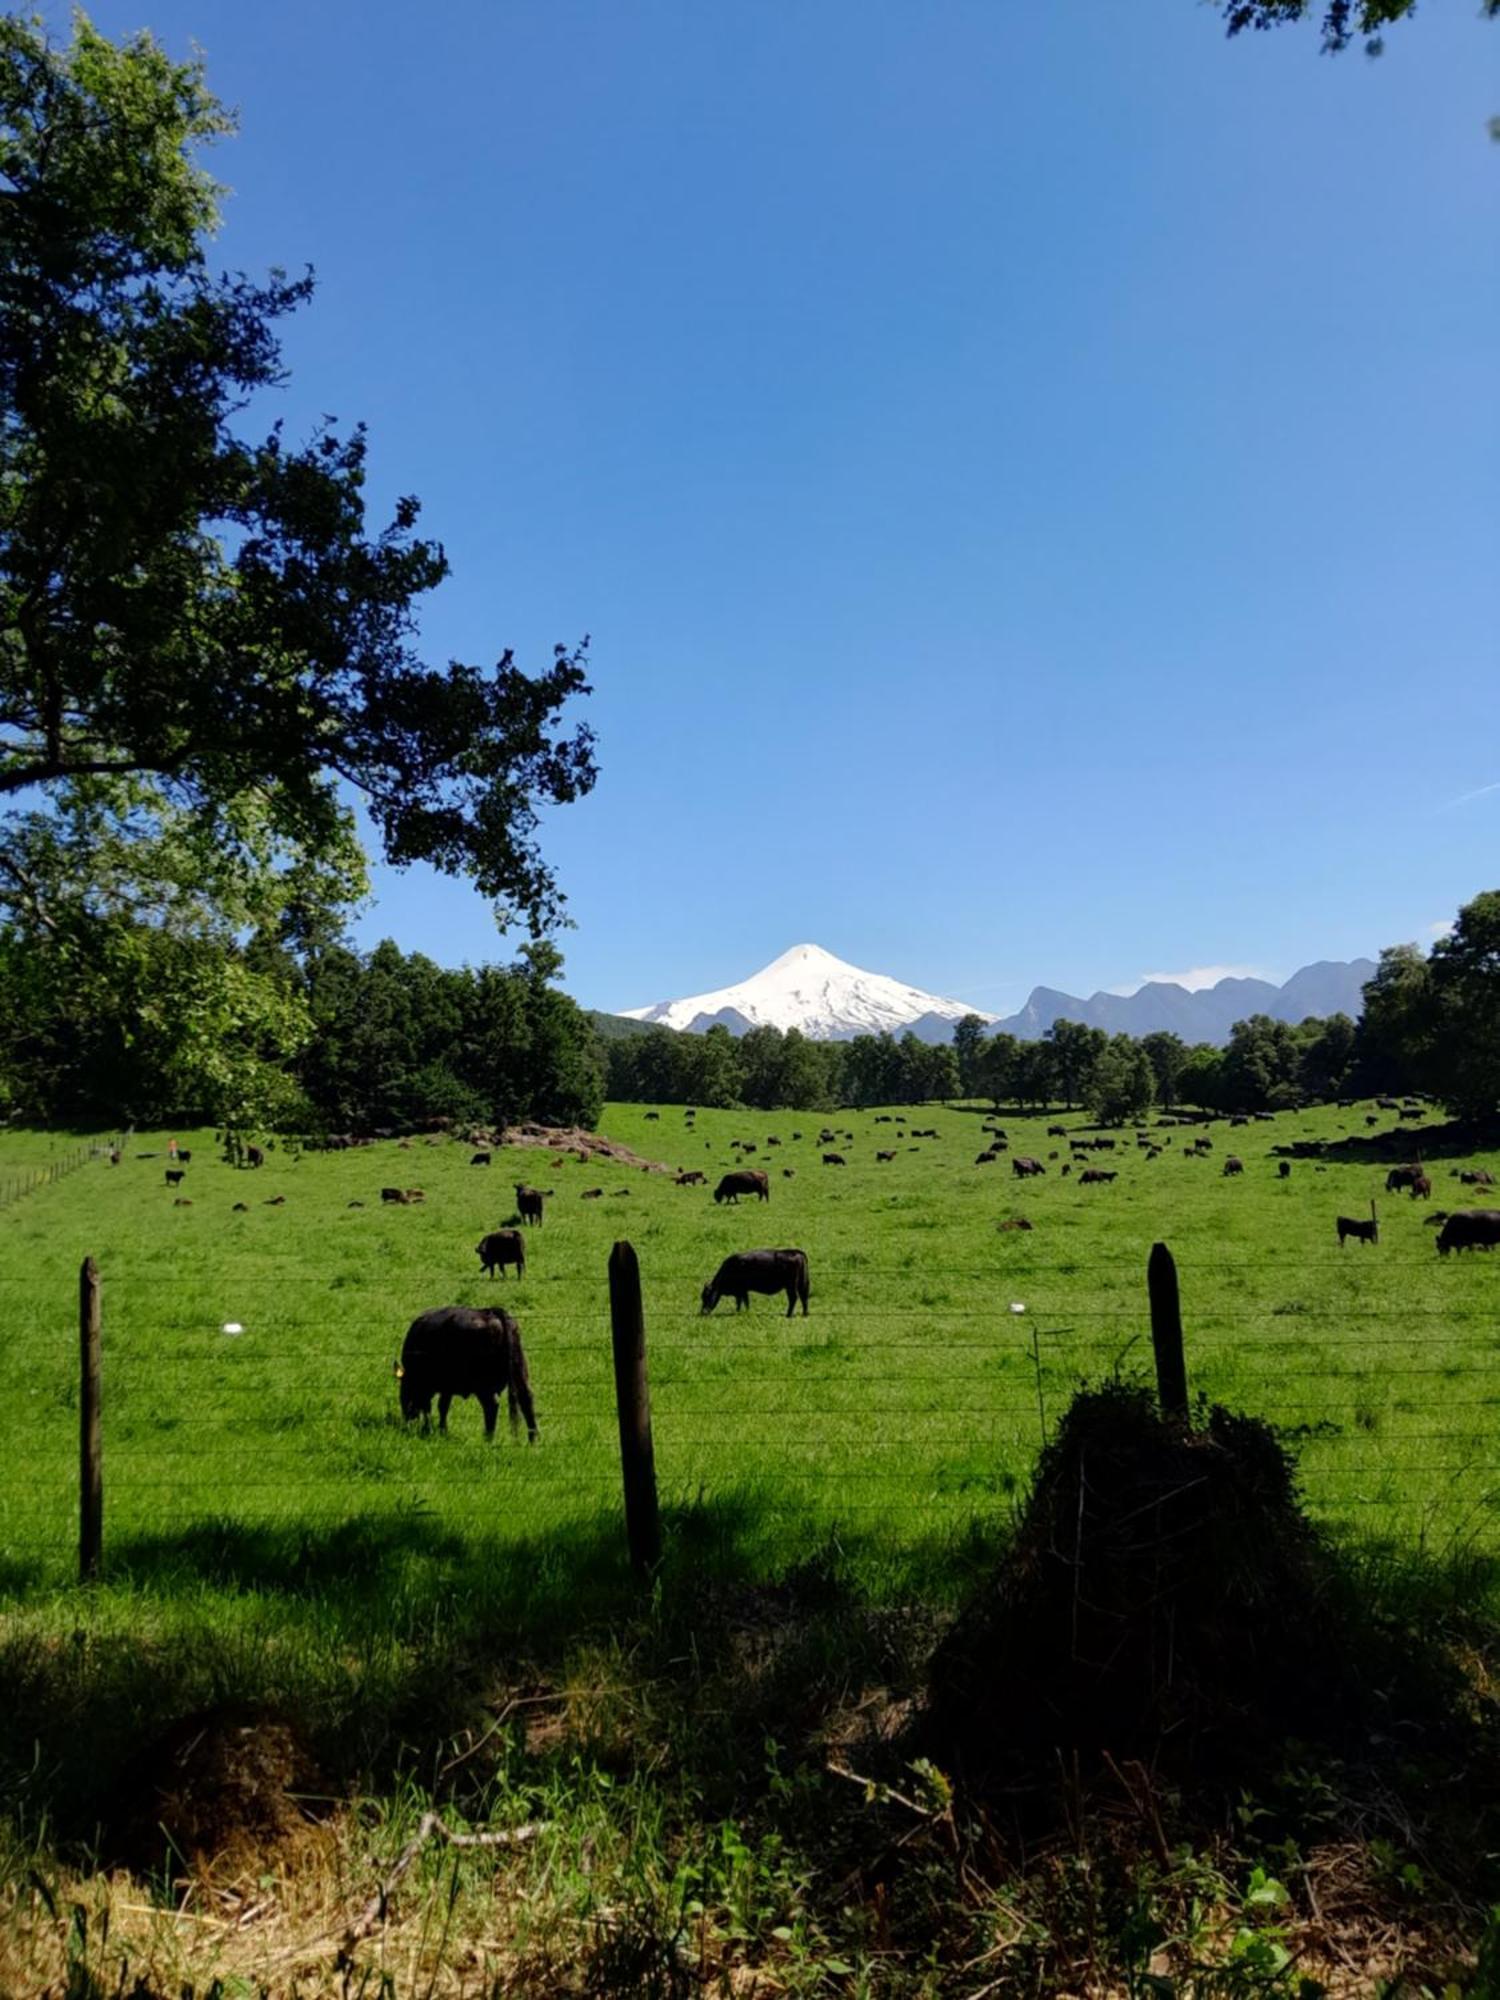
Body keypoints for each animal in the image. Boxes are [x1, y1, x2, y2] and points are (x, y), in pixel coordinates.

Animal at [400, 1304, 540, 1448]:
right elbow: (442, 1406)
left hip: (483, 1386)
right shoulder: (446, 1388)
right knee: (526, 1400)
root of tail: (490, 1312)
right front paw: (441, 1430)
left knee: (491, 1406)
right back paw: (532, 1440)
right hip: (520, 1372)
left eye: (403, 1397)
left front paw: (432, 1429)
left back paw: (488, 1438)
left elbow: (432, 1407)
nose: (407, 1422)